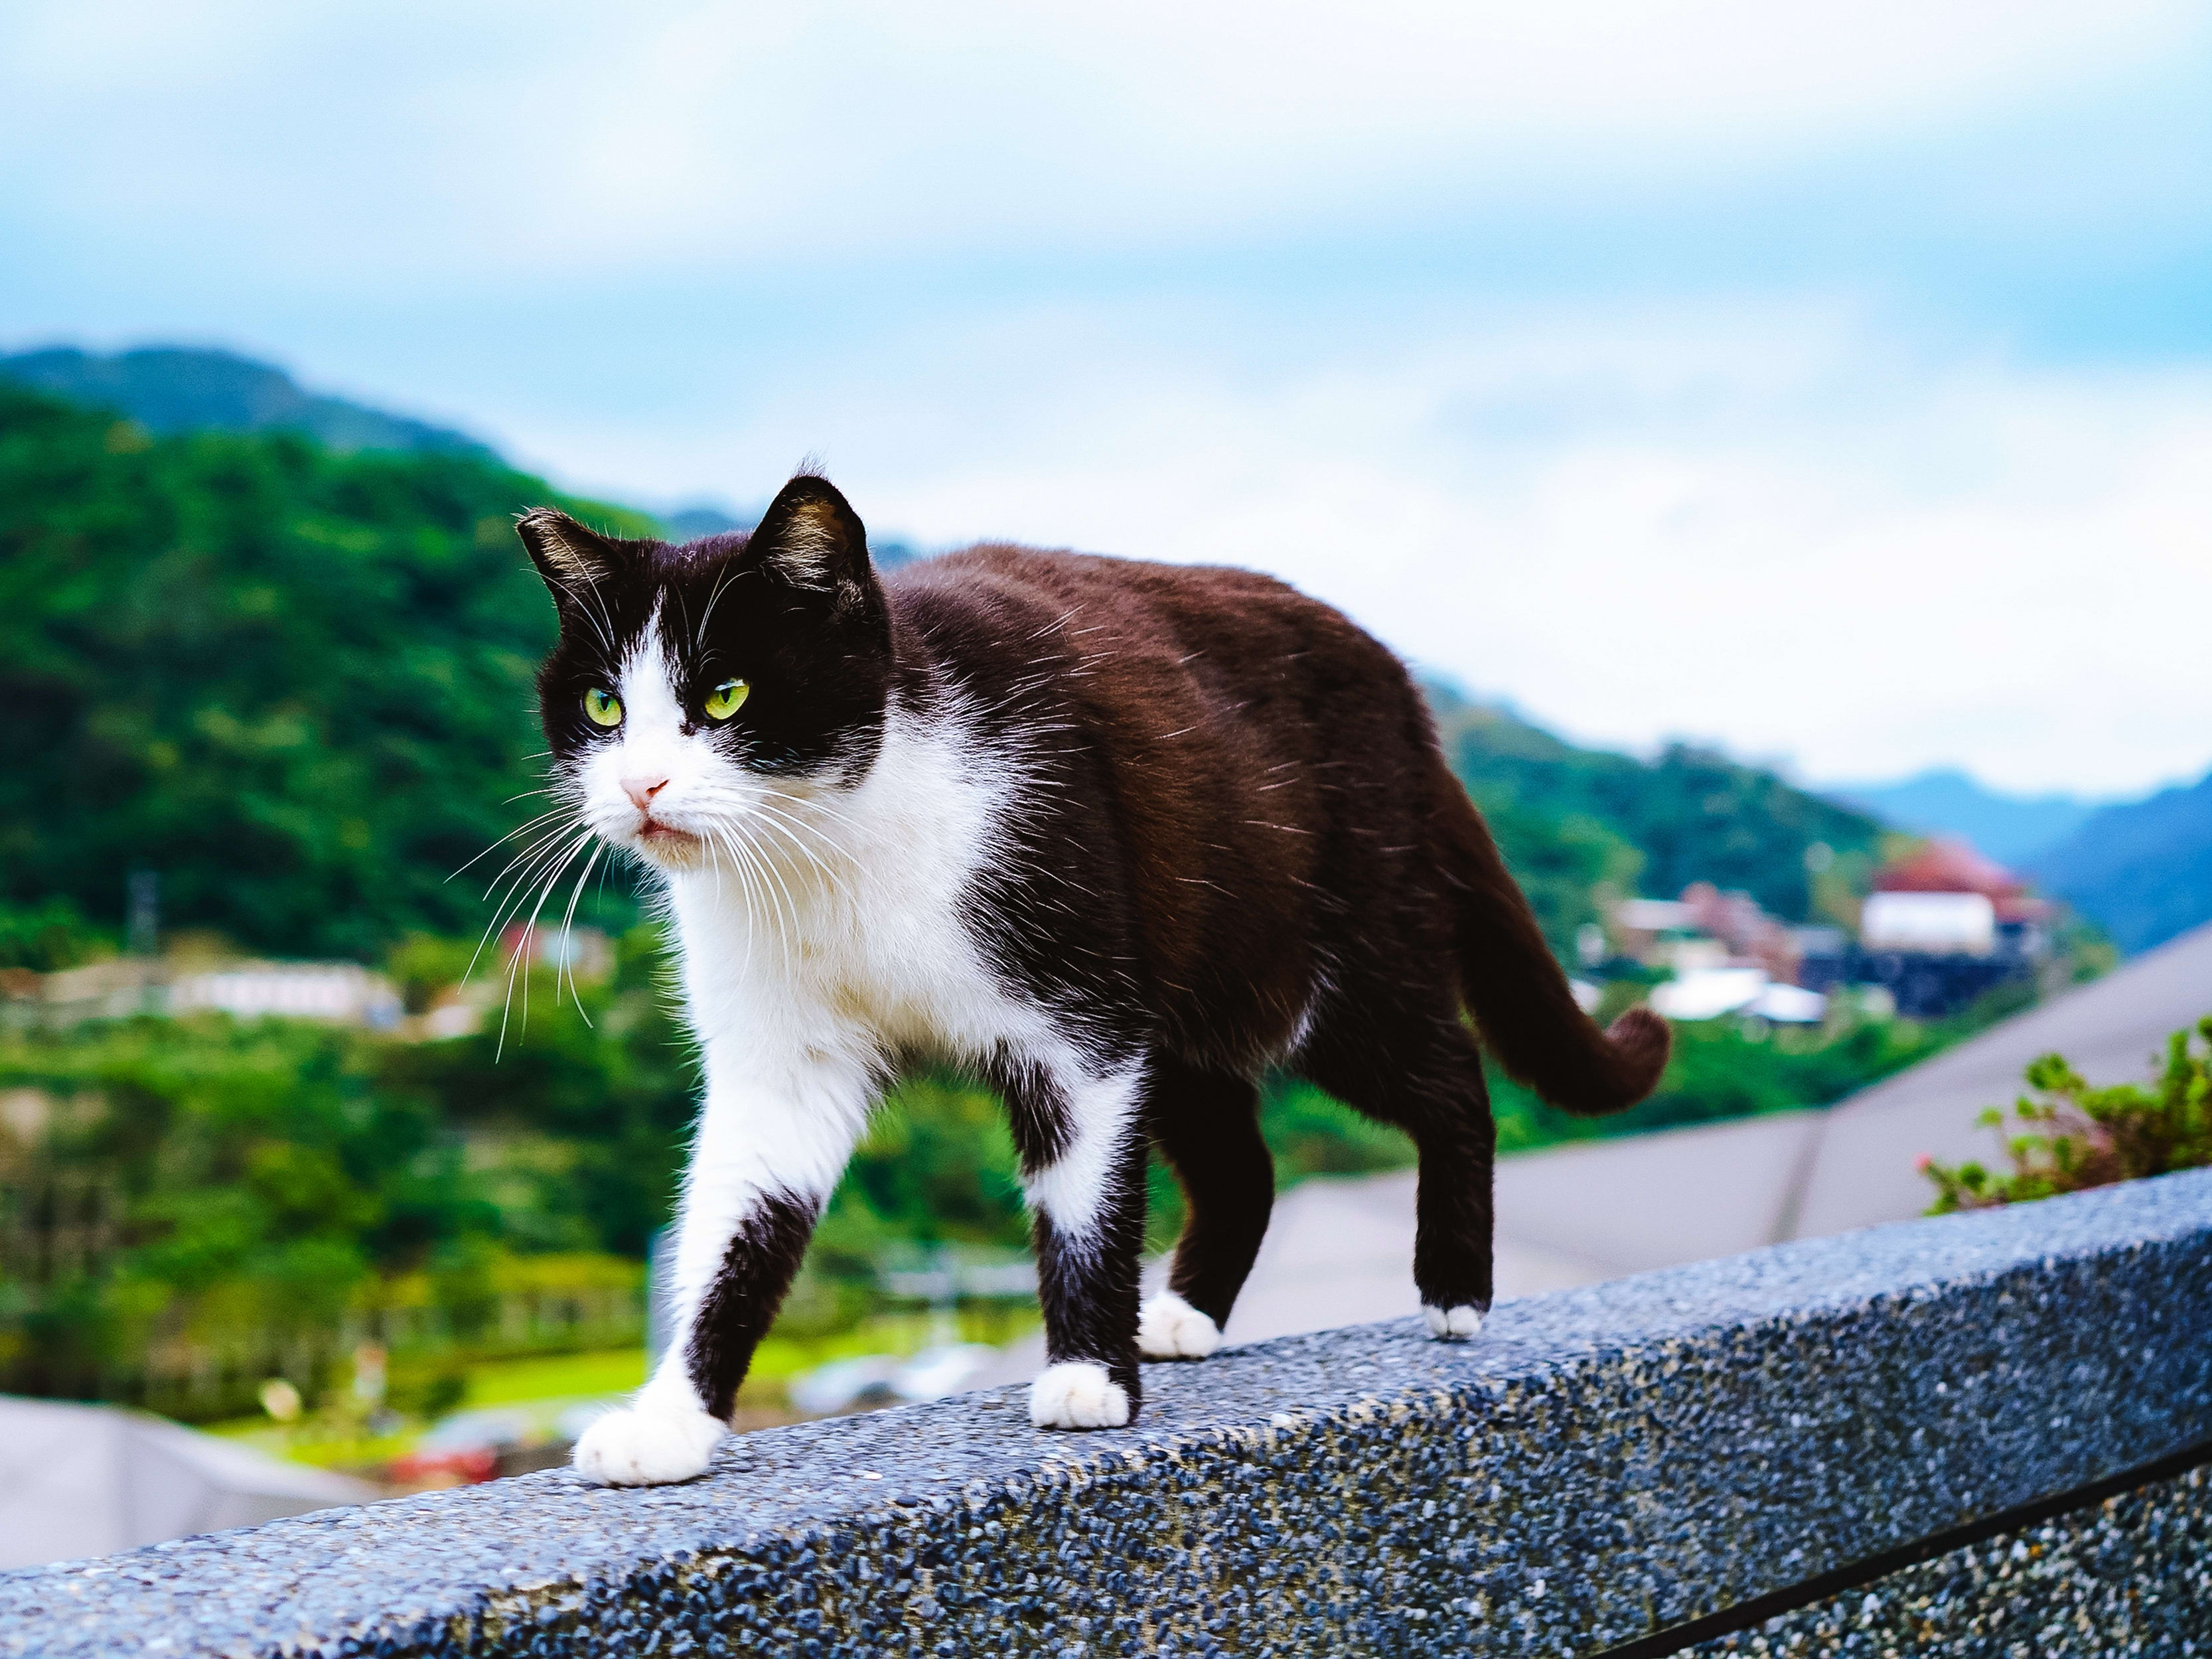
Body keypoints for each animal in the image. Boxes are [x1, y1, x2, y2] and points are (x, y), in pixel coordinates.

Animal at [517, 473, 1663, 1486]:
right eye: (604, 706)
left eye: (725, 695)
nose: (640, 787)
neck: (833, 851)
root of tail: (1402, 688)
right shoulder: (780, 1062)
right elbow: (731, 1232)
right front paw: (671, 1424)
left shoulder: (1078, 1020)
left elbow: (1082, 1203)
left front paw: (1085, 1379)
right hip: (1189, 992)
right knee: (1245, 1164)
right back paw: (1184, 1317)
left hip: (1321, 962)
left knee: (1452, 1079)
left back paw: (1456, 1291)